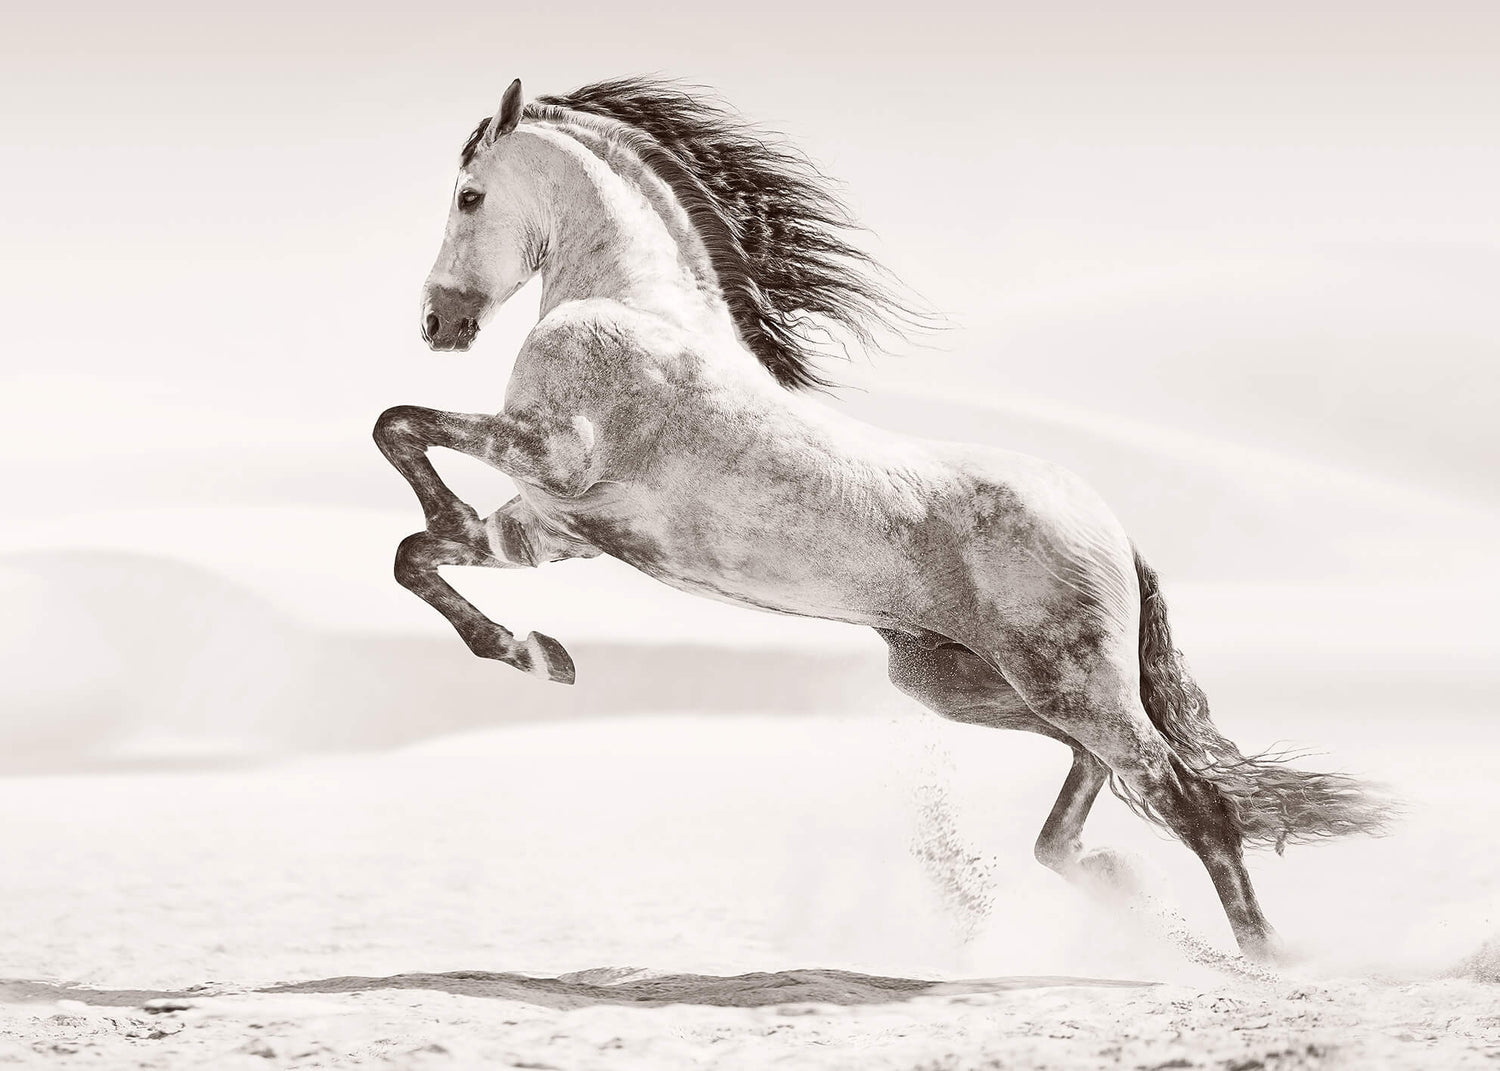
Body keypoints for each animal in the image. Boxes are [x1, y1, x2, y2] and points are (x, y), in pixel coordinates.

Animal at [374, 76, 1393, 963]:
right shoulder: (550, 529)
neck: (632, 305)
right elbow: (415, 552)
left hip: (1064, 681)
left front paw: (512, 615)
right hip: (965, 683)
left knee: (1189, 796)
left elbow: (398, 428)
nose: (437, 324)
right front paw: (536, 653)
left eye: (468, 195)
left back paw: (1266, 958)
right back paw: (1114, 883)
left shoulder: (552, 456)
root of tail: (1109, 525)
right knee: (1104, 775)